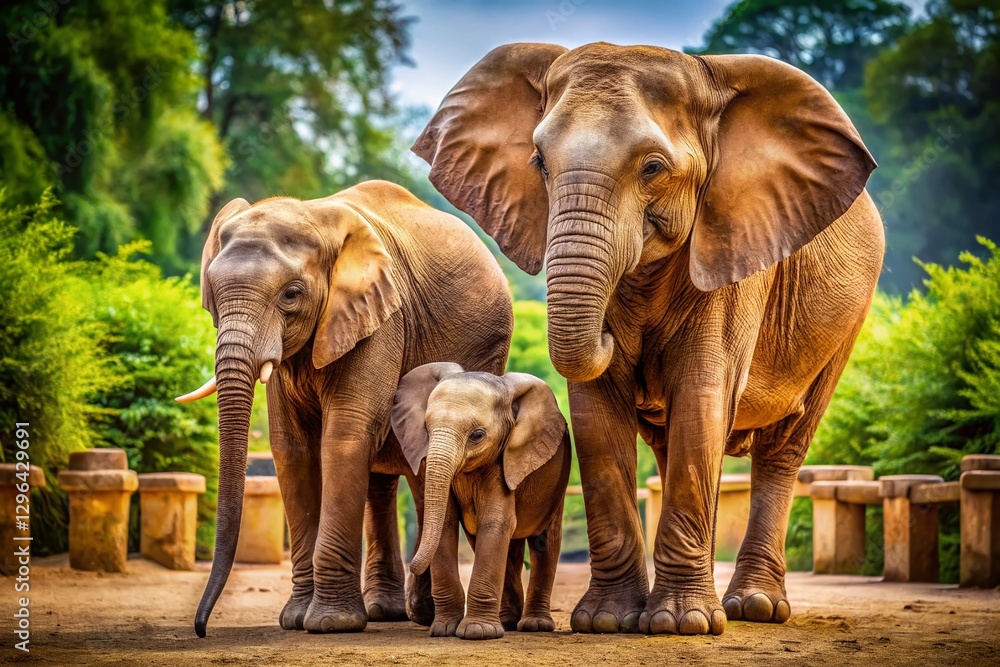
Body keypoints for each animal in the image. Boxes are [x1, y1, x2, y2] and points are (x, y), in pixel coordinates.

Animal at [176, 180, 513, 637]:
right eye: (211, 293)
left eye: (291, 294)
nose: (201, 627)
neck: (313, 216)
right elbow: (292, 447)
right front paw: (295, 619)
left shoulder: (380, 318)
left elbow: (345, 435)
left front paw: (330, 623)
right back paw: (388, 612)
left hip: (484, 350)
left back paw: (420, 615)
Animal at [390, 363, 570, 639]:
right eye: (426, 429)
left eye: (477, 435)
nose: (413, 567)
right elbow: (447, 522)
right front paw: (444, 630)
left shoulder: (502, 461)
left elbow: (496, 522)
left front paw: (478, 631)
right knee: (508, 549)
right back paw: (508, 621)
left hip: (557, 482)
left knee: (545, 542)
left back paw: (534, 625)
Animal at [413, 43, 885, 636]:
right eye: (539, 162)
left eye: (653, 168)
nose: (613, 335)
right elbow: (597, 415)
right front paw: (608, 621)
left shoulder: (731, 245)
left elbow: (702, 396)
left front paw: (682, 624)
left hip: (848, 319)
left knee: (784, 447)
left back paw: (752, 608)